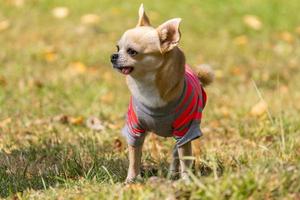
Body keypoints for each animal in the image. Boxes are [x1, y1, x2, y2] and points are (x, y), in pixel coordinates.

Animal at [110, 4, 213, 183]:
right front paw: (131, 179)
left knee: (177, 152)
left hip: (182, 133)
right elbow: (134, 158)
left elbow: (185, 159)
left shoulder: (185, 131)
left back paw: (173, 173)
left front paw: (186, 181)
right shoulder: (134, 131)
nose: (113, 56)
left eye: (132, 52)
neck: (146, 86)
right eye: (118, 48)